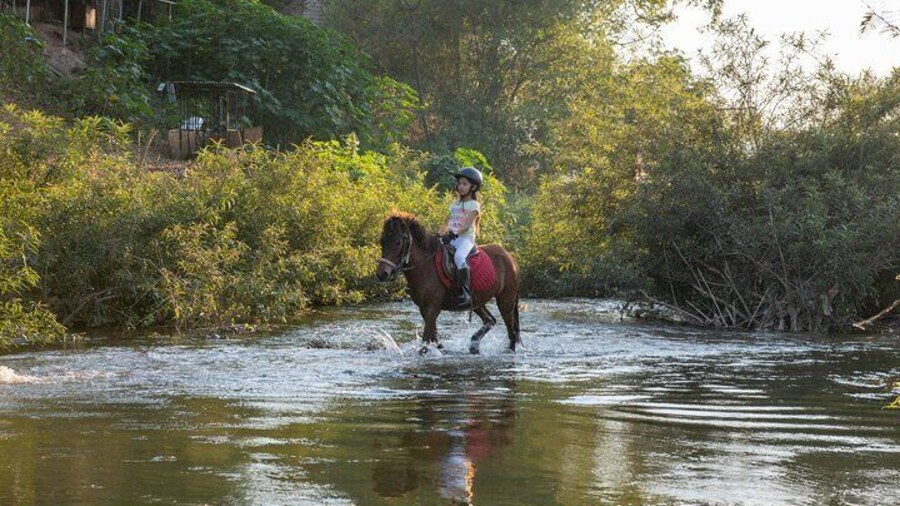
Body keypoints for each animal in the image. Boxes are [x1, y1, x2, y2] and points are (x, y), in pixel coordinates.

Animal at [375, 212, 521, 354]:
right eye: (382, 242)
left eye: (398, 243)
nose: (382, 274)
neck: (425, 266)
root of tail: (510, 257)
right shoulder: (425, 309)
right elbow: (433, 338)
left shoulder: (432, 309)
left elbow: (425, 342)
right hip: (477, 302)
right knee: (490, 320)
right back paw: (474, 345)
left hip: (505, 300)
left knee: (511, 331)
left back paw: (508, 350)